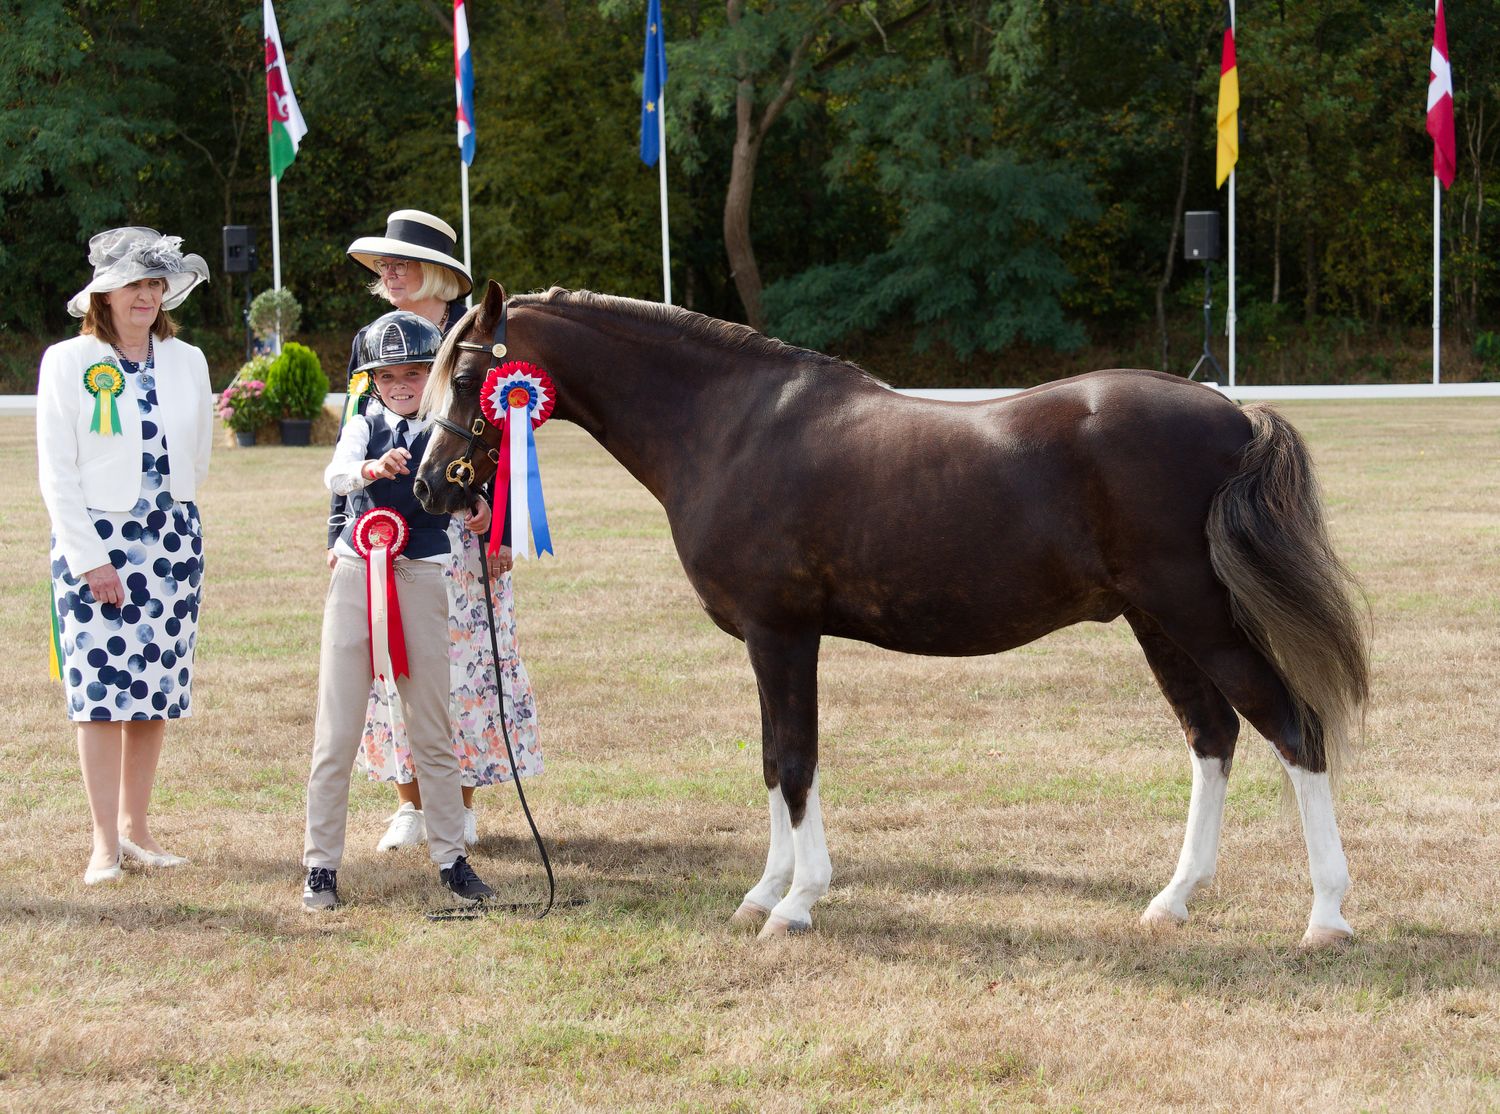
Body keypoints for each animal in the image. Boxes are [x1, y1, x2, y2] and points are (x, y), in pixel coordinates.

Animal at [416, 281, 1370, 948]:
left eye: (467, 375)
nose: (427, 487)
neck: (727, 428)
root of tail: (1235, 413)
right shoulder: (765, 643)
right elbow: (770, 762)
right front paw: (762, 893)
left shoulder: (783, 636)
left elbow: (795, 761)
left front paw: (796, 903)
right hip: (1157, 624)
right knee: (1213, 737)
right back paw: (1173, 901)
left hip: (1197, 614)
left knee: (1292, 728)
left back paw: (1325, 916)